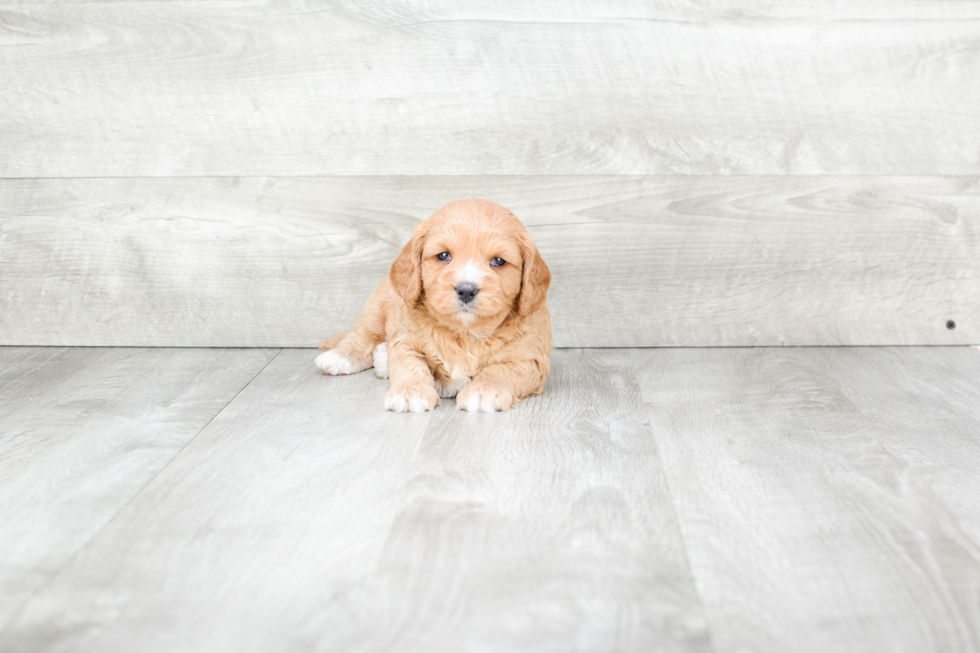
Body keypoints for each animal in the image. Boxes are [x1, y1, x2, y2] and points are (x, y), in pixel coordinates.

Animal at [318, 199, 556, 412]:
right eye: (443, 255)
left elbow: (501, 371)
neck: (467, 333)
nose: (466, 290)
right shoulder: (406, 339)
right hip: (376, 307)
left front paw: (484, 391)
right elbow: (411, 365)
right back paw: (340, 356)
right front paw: (409, 392)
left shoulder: (530, 359)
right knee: (362, 338)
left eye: (498, 261)